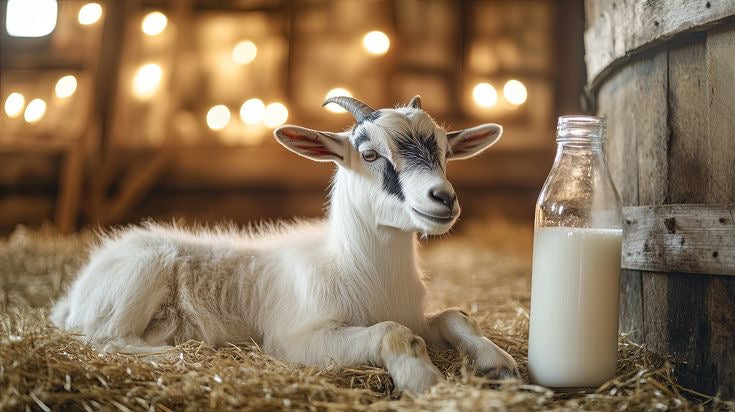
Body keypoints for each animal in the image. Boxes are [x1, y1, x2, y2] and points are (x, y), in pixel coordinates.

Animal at [51, 95, 519, 393]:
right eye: (369, 154)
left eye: (444, 151)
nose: (443, 198)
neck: (359, 269)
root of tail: (71, 298)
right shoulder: (296, 339)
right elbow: (394, 332)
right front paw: (423, 381)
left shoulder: (416, 315)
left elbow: (454, 316)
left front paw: (499, 364)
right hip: (140, 273)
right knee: (107, 339)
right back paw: (175, 354)